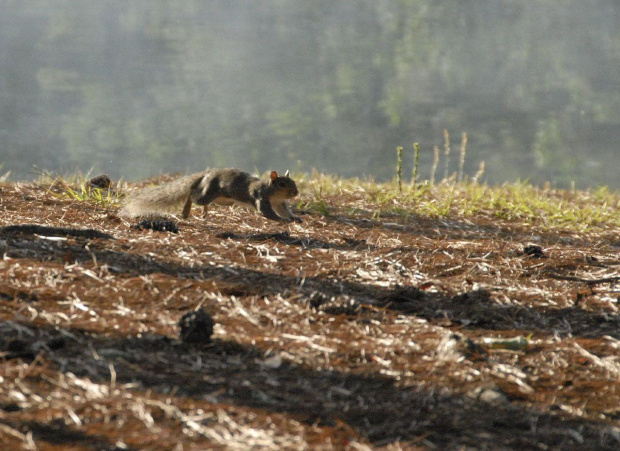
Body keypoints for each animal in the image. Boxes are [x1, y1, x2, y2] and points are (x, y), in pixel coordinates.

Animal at [120, 169, 302, 223]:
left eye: (293, 181)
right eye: (282, 184)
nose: (296, 192)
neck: (273, 193)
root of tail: (206, 174)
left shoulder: (280, 203)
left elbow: (285, 210)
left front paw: (294, 218)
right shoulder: (261, 198)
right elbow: (267, 213)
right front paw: (282, 220)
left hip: (221, 200)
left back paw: (205, 212)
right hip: (208, 193)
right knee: (192, 195)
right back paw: (186, 210)